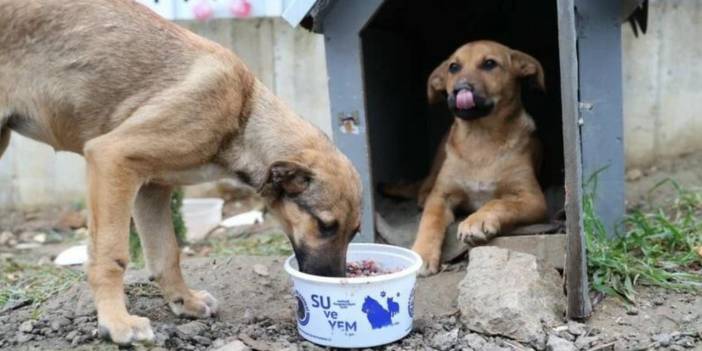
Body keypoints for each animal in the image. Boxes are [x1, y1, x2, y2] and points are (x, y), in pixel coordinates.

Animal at [1, 0, 364, 346]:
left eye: (354, 233)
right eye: (324, 226)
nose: (334, 281)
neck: (243, 115)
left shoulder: (151, 187)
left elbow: (167, 253)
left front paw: (184, 301)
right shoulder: (111, 158)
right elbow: (112, 255)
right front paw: (116, 323)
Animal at [388, 41, 548, 276]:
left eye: (490, 63)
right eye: (453, 67)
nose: (459, 89)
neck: (480, 139)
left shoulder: (533, 198)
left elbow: (499, 203)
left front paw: (477, 220)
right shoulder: (441, 196)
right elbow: (430, 220)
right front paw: (423, 253)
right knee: (425, 187)